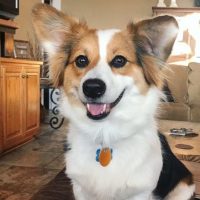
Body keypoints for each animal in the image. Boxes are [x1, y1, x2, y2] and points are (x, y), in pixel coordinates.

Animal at [32, 3, 195, 200]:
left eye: (119, 60)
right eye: (81, 60)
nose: (92, 87)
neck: (105, 134)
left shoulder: (140, 192)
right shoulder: (80, 189)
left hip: (183, 188)